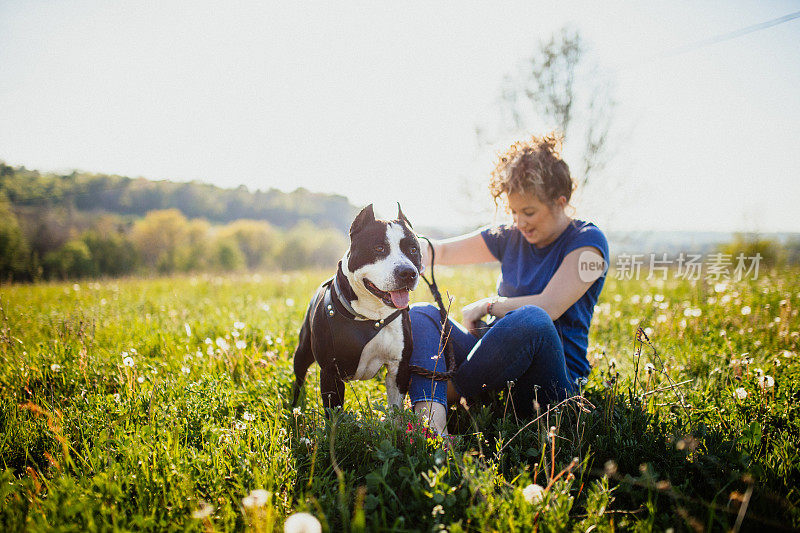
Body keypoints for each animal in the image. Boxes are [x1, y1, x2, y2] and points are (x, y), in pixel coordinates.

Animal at [290, 204, 422, 408]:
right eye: (379, 248)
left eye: (413, 249)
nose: (408, 272)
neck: (372, 316)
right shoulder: (330, 372)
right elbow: (334, 412)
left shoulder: (399, 368)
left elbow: (395, 409)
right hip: (302, 351)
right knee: (299, 377)